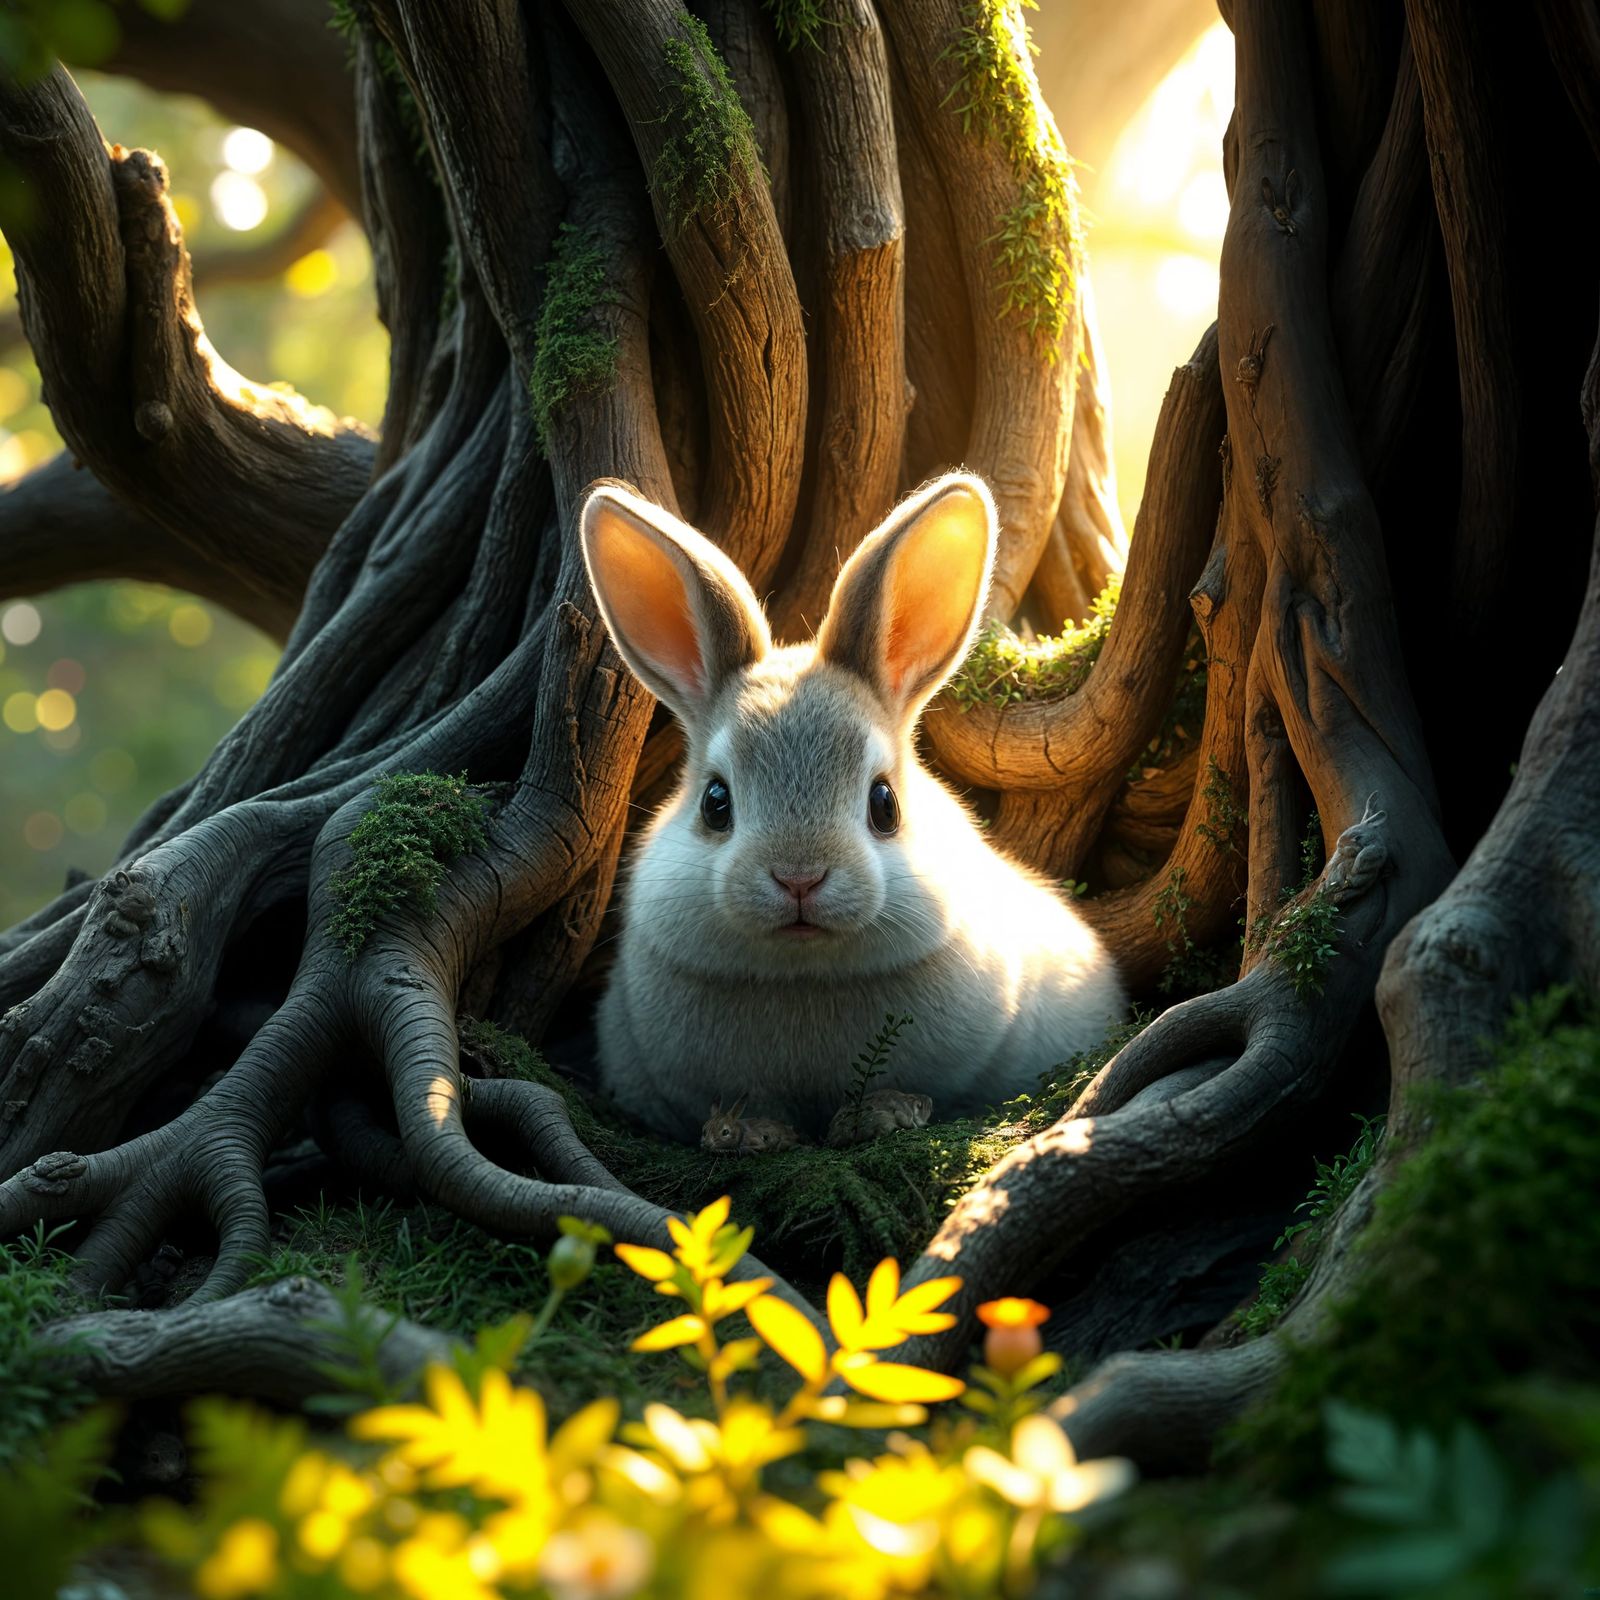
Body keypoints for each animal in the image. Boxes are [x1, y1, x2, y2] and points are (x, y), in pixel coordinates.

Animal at [580, 470, 1127, 1146]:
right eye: (715, 803)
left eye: (884, 804)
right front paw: (751, 1133)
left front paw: (880, 1115)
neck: (807, 974)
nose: (799, 878)